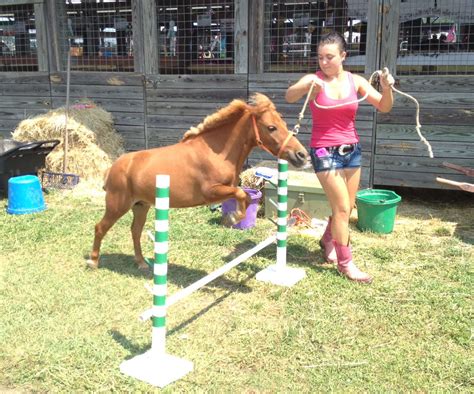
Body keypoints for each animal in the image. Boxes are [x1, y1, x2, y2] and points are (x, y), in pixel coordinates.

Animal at [88, 94, 308, 270]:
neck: (216, 153)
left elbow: (243, 195)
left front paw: (233, 217)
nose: (301, 155)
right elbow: (241, 194)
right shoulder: (211, 192)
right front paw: (234, 218)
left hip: (141, 206)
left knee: (135, 231)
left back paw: (142, 263)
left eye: (284, 124)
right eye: (271, 127)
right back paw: (93, 262)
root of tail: (114, 167)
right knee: (100, 227)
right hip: (118, 205)